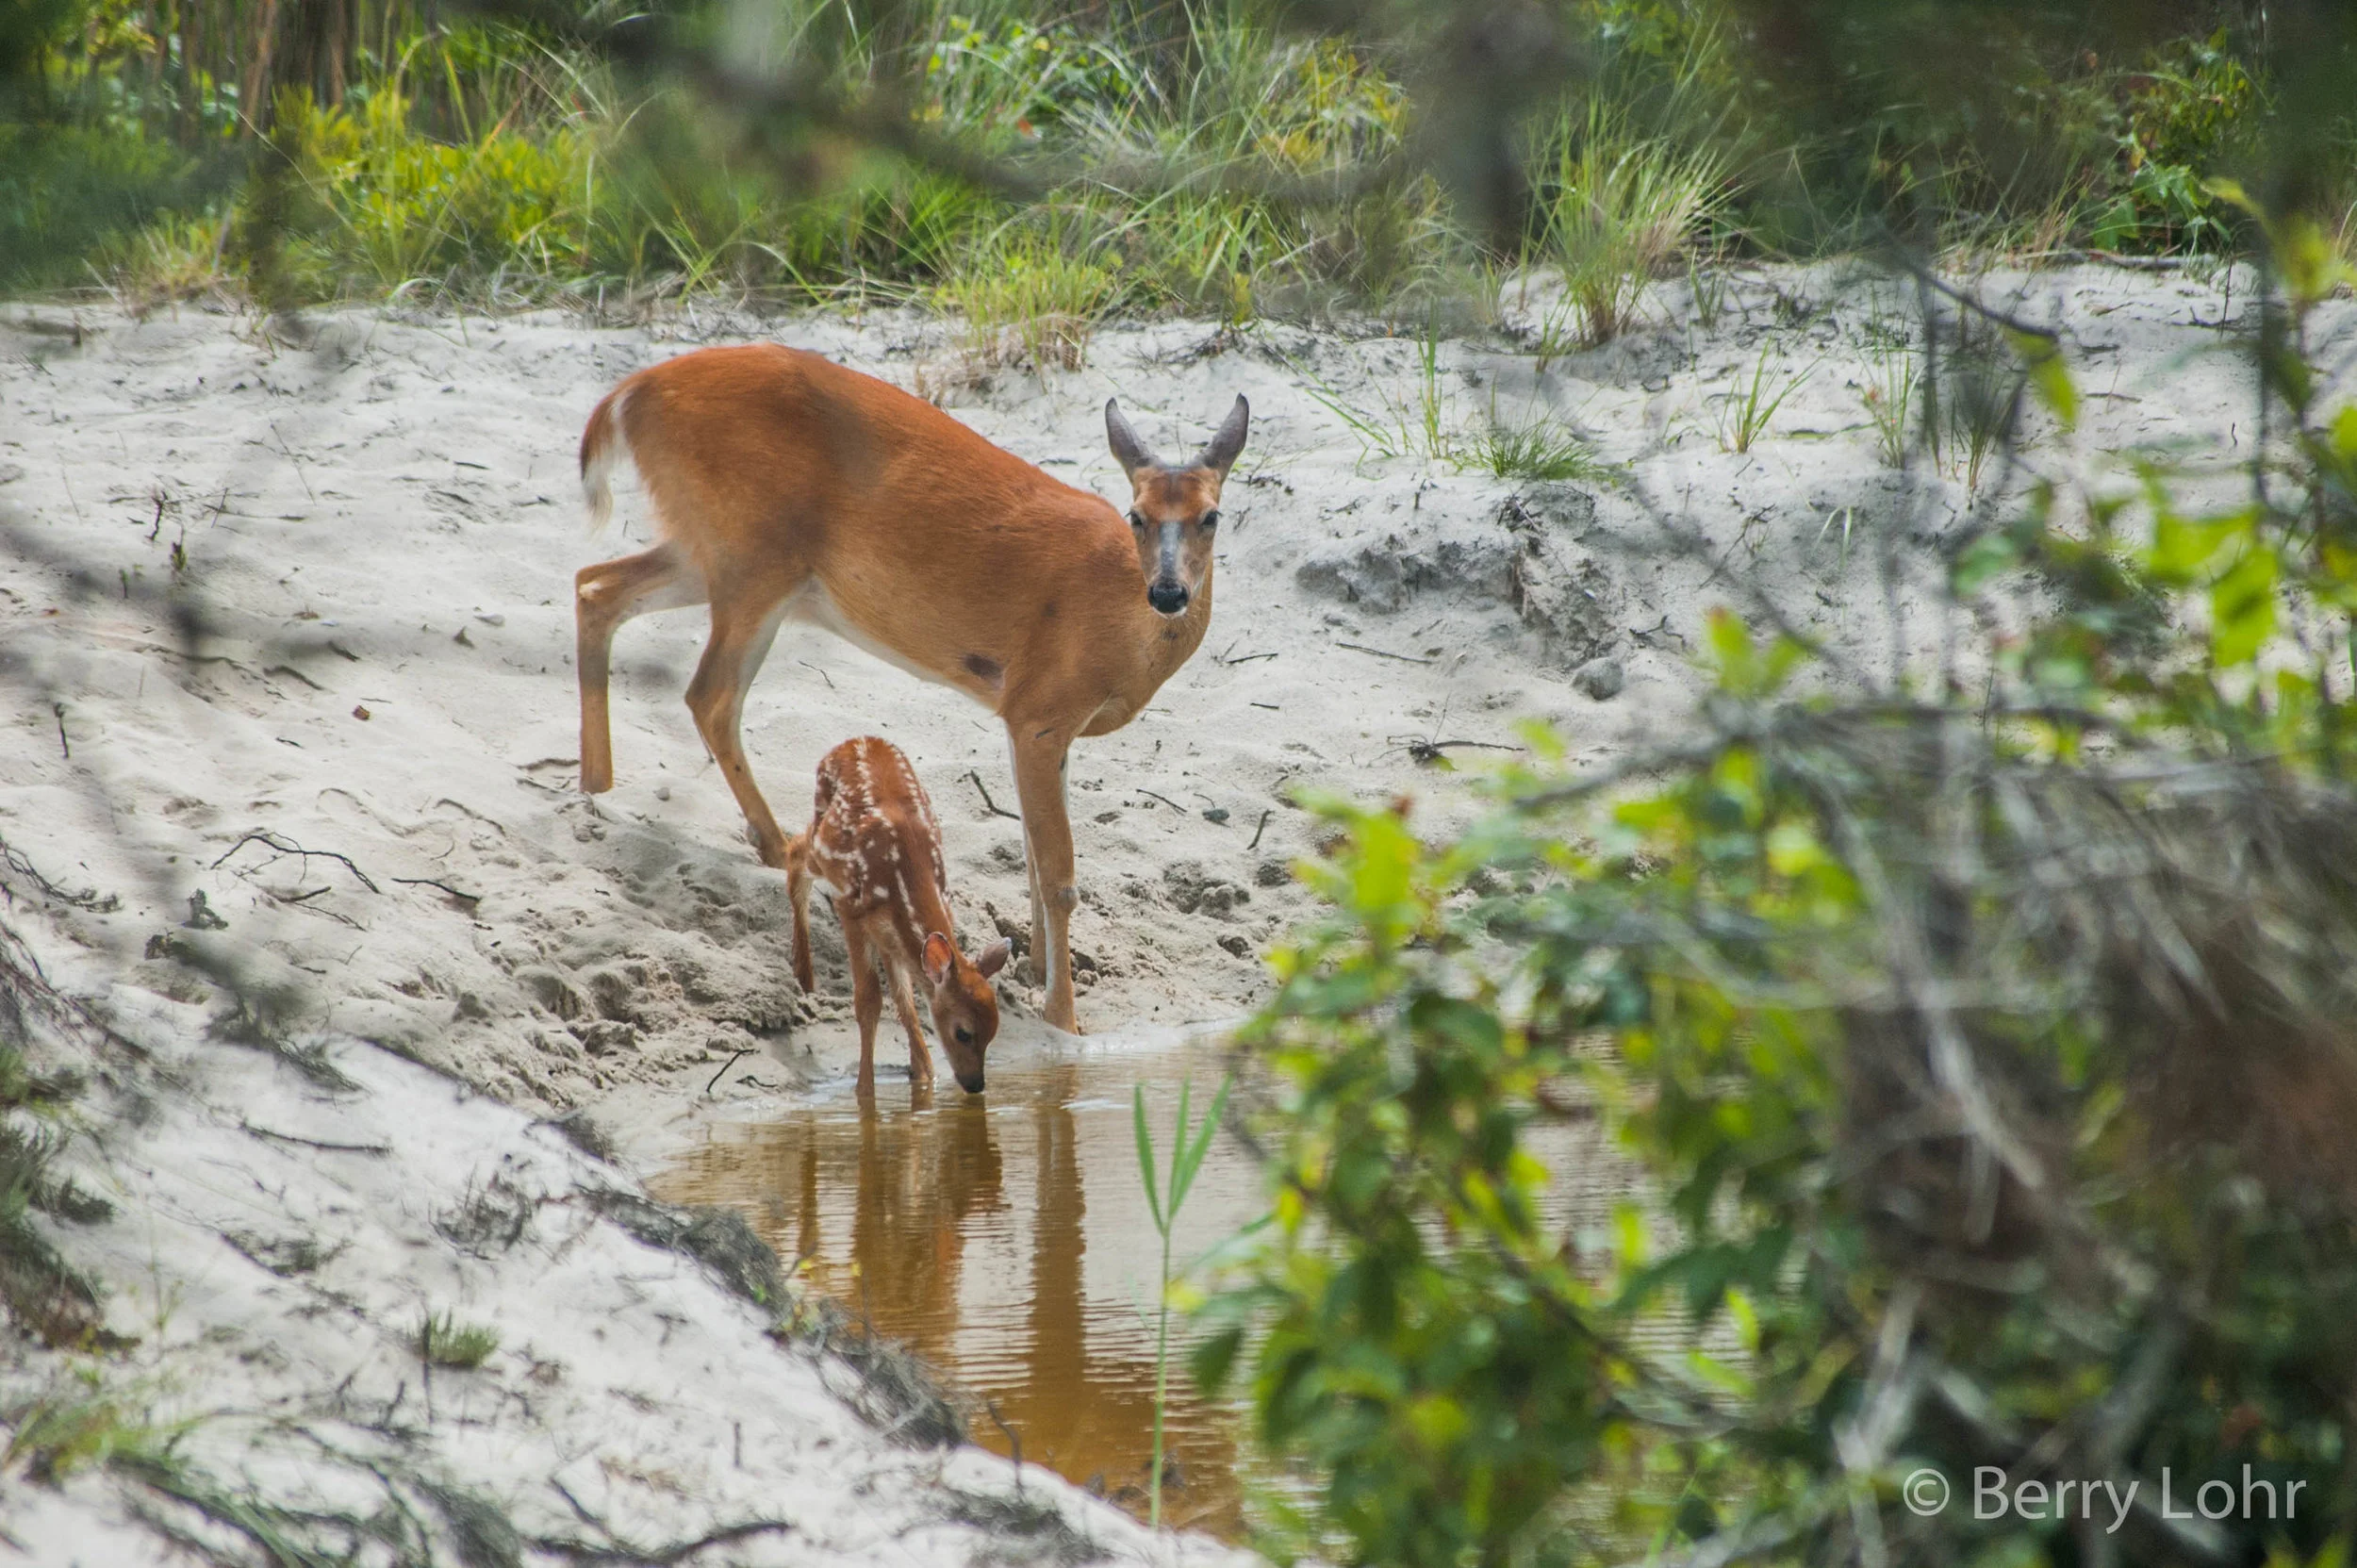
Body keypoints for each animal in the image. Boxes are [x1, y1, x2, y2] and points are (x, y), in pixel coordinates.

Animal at [573, 342, 1247, 1034]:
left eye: (1211, 516)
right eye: (1137, 515)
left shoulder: (1027, 720)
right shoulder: (1040, 710)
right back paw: (774, 843)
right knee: (707, 692)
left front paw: (1038, 969)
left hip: (708, 548)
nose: (1168, 592)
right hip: (752, 555)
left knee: (596, 586)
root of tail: (629, 393)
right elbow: (1058, 874)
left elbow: (1033, 857)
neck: (1116, 617)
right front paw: (1064, 1018)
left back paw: (595, 786)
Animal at [785, 736, 1011, 1095]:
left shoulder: (890, 930)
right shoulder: (850, 907)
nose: (976, 1084)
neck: (901, 879)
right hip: (822, 839)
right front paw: (865, 1091)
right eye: (963, 1032)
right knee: (794, 850)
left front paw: (925, 1076)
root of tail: (852, 741)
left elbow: (905, 1000)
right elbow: (868, 1001)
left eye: (994, 1032)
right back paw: (804, 975)